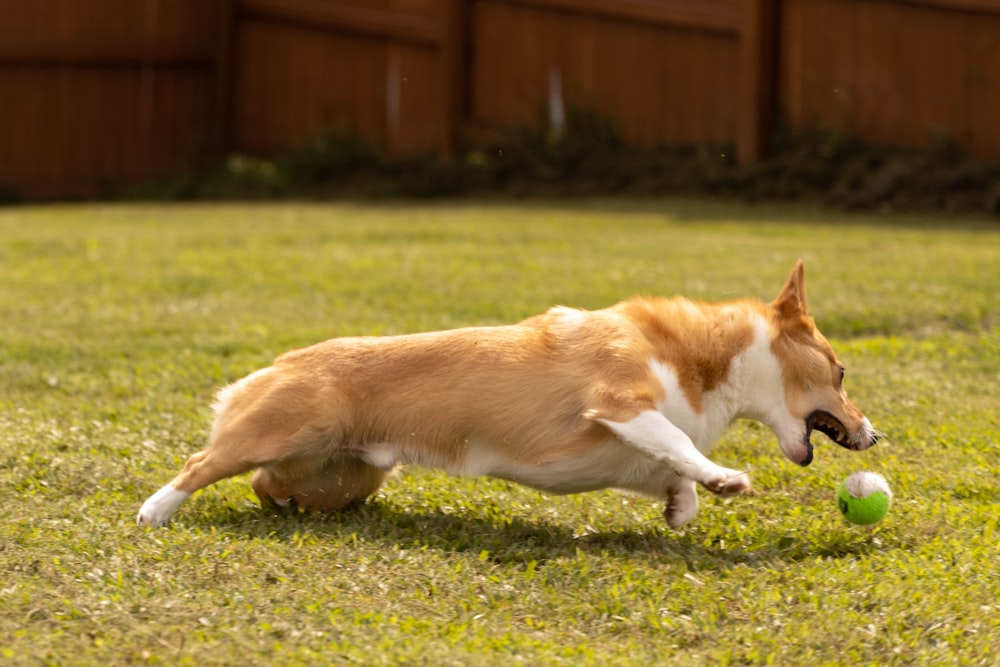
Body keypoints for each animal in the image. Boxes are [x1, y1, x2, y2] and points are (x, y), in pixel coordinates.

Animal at [139, 260, 876, 528]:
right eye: (841, 374)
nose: (876, 435)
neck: (705, 358)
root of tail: (276, 362)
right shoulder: (617, 402)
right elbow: (678, 443)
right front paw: (724, 479)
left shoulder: (631, 448)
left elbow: (672, 469)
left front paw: (682, 509)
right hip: (283, 428)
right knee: (199, 464)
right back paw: (155, 511)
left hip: (345, 474)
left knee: (267, 486)